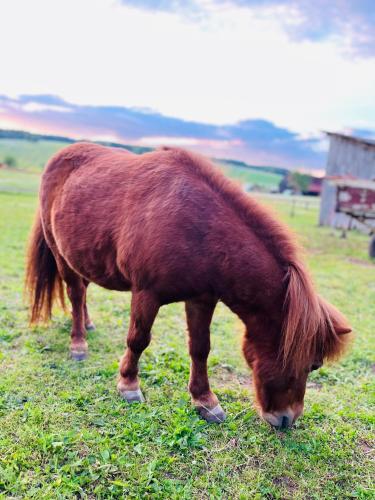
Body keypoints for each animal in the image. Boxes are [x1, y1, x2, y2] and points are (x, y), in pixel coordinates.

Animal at [25, 143, 352, 428]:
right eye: (314, 365)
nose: (287, 420)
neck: (198, 227)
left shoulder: (202, 299)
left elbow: (200, 348)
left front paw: (205, 401)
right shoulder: (146, 294)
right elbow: (138, 339)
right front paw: (128, 385)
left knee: (83, 292)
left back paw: (89, 324)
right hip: (60, 254)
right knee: (76, 293)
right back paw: (78, 343)